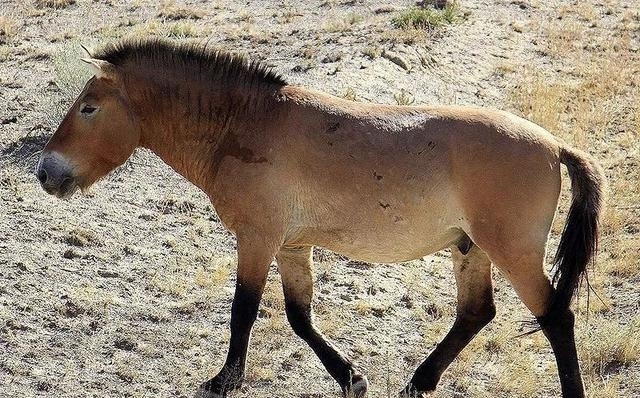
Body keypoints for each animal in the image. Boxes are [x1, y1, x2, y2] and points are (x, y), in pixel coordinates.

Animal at [36, 38, 604, 398]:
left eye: (88, 107)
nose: (45, 171)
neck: (245, 126)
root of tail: (554, 145)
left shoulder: (257, 239)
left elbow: (243, 311)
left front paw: (223, 381)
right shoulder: (290, 246)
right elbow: (299, 316)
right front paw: (351, 378)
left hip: (513, 253)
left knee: (555, 317)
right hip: (471, 249)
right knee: (475, 314)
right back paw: (417, 383)